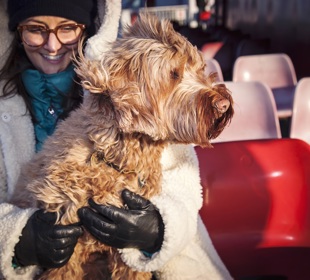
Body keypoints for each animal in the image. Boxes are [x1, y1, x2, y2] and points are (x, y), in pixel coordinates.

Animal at [10, 13, 232, 280]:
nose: (223, 104)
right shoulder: (64, 230)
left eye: (200, 69)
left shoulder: (126, 242)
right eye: (174, 74)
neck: (115, 154)